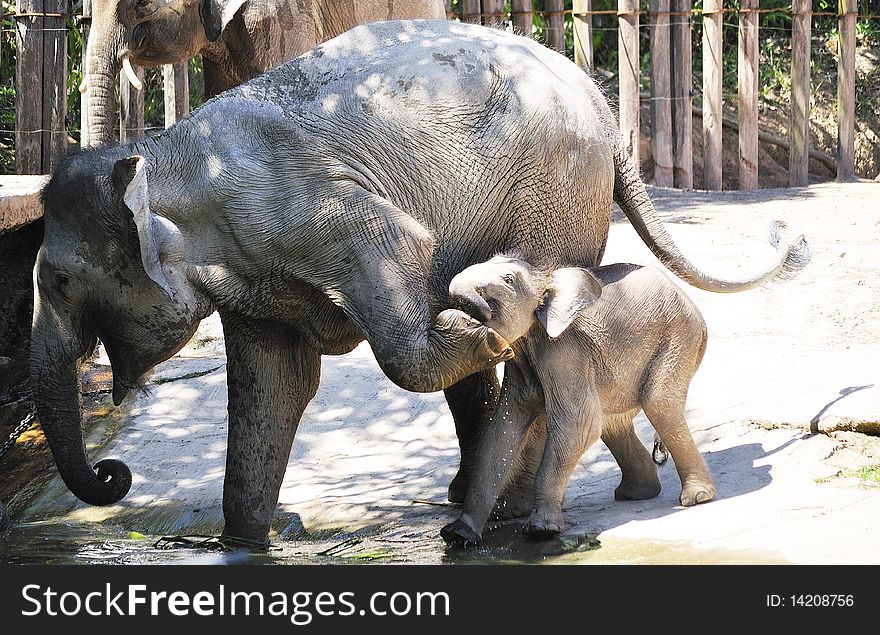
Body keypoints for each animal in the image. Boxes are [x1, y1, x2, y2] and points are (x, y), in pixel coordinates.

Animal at [440, 255, 716, 548]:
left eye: (508, 279)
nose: (470, 314)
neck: (545, 279)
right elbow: (501, 433)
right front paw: (458, 534)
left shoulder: (564, 352)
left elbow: (578, 426)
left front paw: (540, 531)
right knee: (613, 424)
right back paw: (637, 493)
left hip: (678, 337)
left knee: (657, 403)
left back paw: (696, 498)